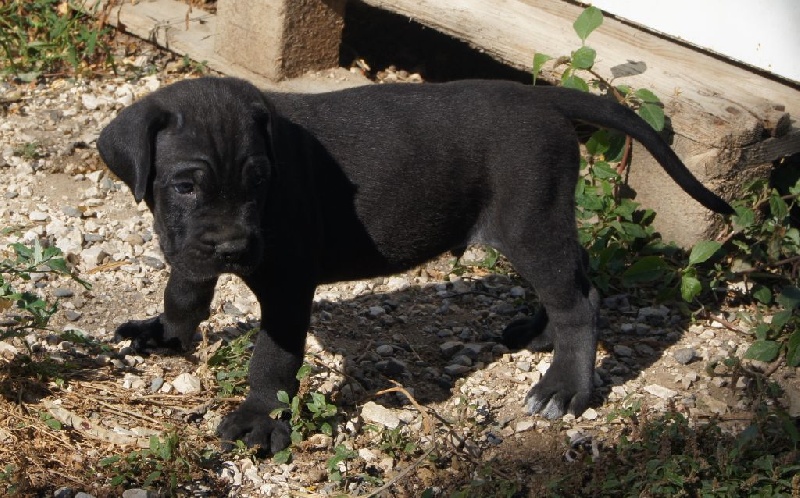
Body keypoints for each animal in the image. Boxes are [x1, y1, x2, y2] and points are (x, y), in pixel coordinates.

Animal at [97, 77, 733, 454]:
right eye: (185, 186)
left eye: (259, 181)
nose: (232, 248)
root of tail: (543, 97)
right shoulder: (190, 249)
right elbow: (183, 290)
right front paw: (165, 332)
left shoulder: (287, 285)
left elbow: (272, 359)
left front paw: (259, 417)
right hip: (540, 221)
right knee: (576, 277)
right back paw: (540, 333)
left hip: (529, 220)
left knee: (578, 302)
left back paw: (564, 387)